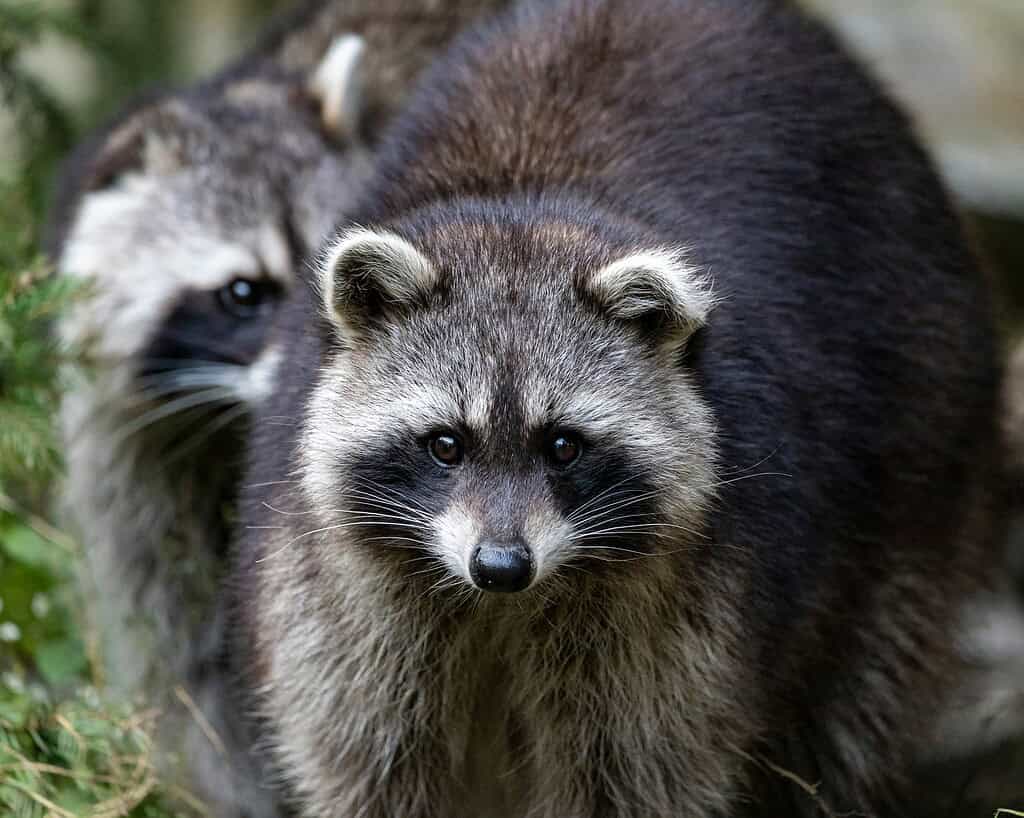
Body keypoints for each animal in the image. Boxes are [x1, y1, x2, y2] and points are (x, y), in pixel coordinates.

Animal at [236, 0, 1004, 816]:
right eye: (445, 444)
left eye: (563, 445)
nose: (500, 565)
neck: (525, 210)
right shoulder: (344, 596)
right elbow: (373, 761)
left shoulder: (685, 607)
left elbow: (634, 770)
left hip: (924, 440)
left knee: (857, 699)